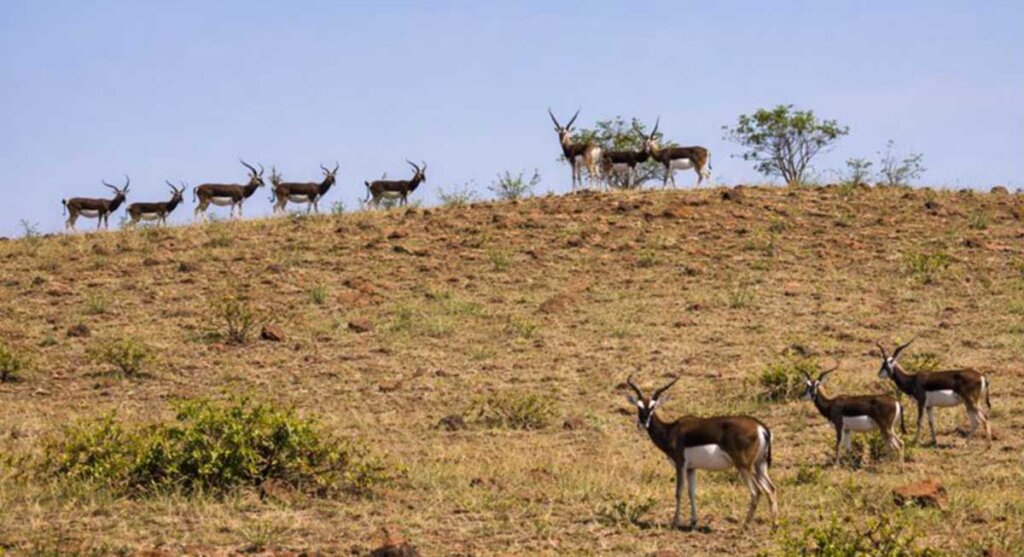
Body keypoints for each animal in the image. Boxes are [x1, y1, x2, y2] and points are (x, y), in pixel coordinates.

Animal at [625, 375, 777, 530]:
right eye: (639, 406)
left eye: (652, 407)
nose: (643, 423)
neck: (671, 431)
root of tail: (760, 427)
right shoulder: (691, 468)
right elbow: (691, 492)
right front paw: (693, 522)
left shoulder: (680, 464)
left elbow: (679, 491)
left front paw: (675, 523)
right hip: (760, 465)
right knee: (771, 488)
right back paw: (774, 525)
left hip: (744, 466)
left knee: (757, 491)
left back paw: (745, 526)